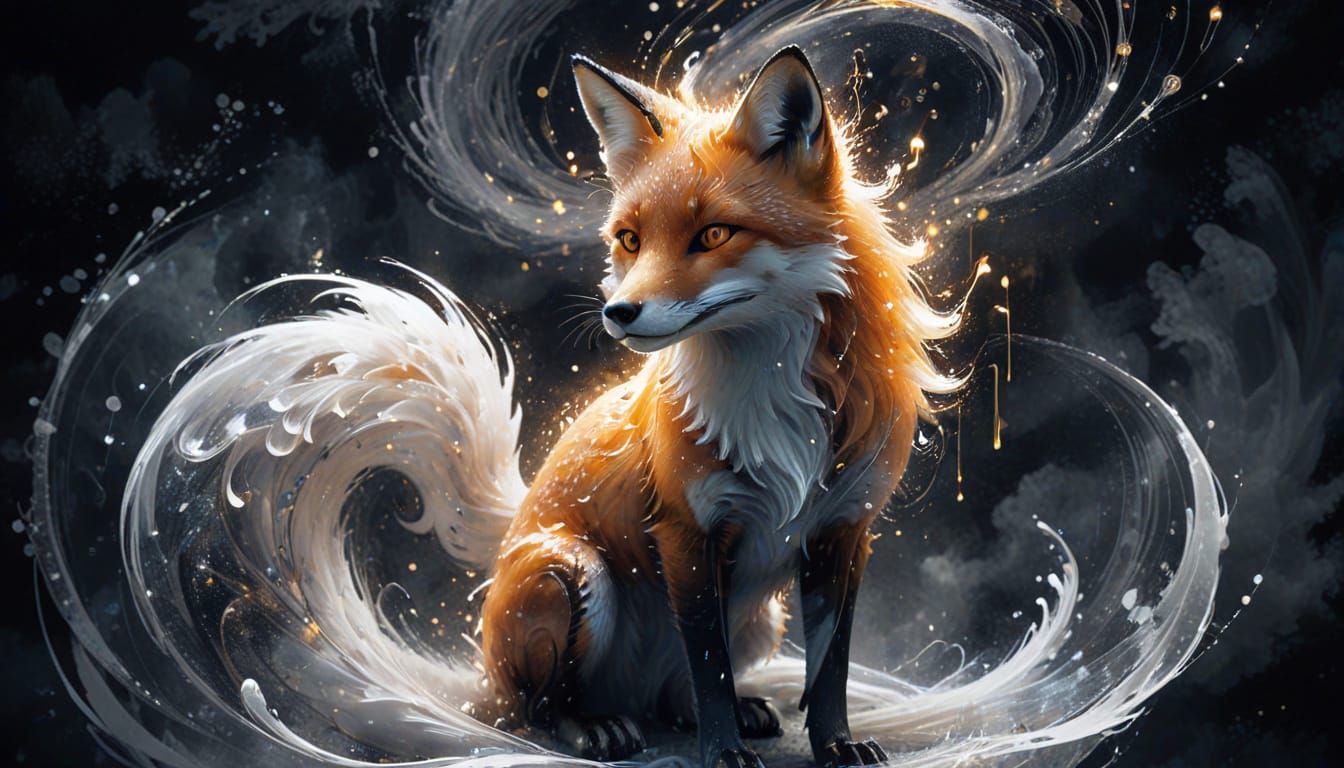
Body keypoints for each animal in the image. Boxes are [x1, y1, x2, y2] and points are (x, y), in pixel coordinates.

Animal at [478, 47, 959, 768]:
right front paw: (723, 751)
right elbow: (709, 666)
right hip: (568, 571)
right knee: (536, 709)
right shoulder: (687, 529)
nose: (618, 313)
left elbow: (828, 666)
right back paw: (592, 726)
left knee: (673, 695)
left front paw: (836, 743)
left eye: (713, 234)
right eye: (630, 239)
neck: (775, 406)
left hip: (762, 618)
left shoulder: (845, 531)